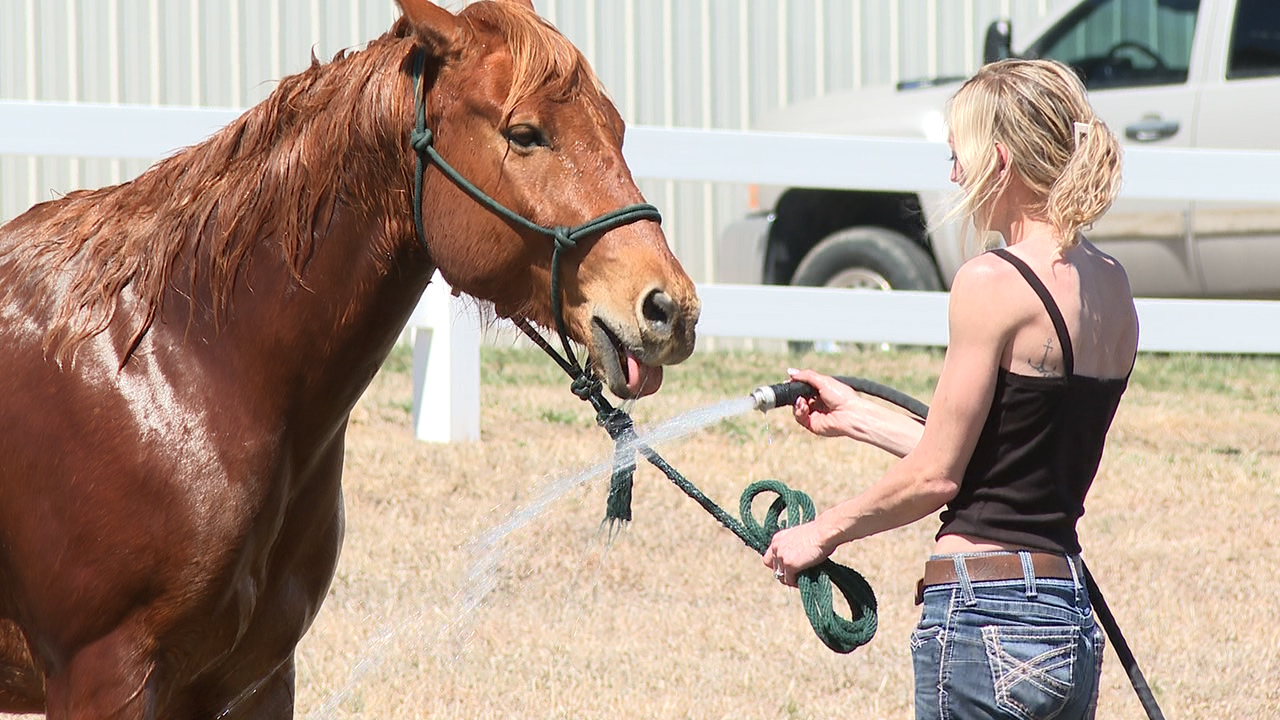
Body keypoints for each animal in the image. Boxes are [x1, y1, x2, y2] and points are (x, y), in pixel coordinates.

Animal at [0, 2, 701, 712]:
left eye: (617, 128)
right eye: (526, 133)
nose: (671, 309)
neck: (184, 362)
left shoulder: (258, 678)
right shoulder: (106, 678)